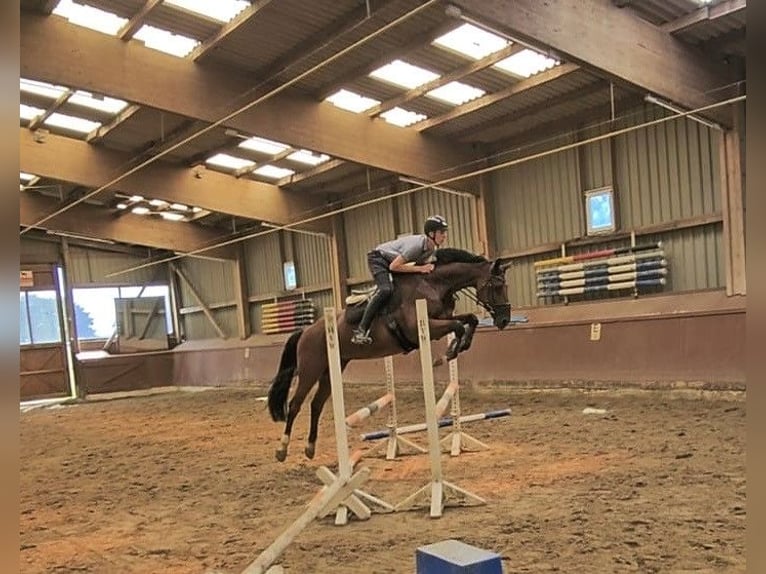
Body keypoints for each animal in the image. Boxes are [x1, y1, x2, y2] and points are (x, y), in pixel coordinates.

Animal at [268, 248, 512, 464]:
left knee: (316, 404)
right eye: (498, 285)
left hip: (331, 369)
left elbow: (470, 319)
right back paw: (282, 449)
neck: (433, 284)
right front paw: (447, 354)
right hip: (310, 369)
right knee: (295, 405)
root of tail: (306, 330)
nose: (504, 320)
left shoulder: (441, 320)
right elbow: (459, 326)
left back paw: (310, 448)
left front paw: (456, 348)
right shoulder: (422, 329)